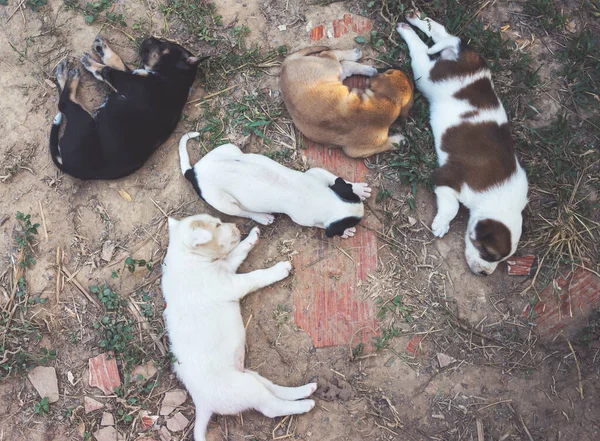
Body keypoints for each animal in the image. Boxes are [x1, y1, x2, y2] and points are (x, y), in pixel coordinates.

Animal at [48, 35, 206, 178]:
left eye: (165, 44)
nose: (149, 38)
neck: (176, 77)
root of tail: (69, 168)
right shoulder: (133, 74)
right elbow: (116, 61)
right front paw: (101, 47)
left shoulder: (125, 81)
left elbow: (105, 70)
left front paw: (90, 62)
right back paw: (63, 72)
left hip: (83, 120)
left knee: (64, 103)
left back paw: (70, 76)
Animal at [162, 211, 316, 438]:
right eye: (217, 226)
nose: (236, 226)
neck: (189, 258)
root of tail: (202, 404)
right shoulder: (231, 284)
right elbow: (256, 276)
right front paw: (278, 270)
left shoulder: (227, 266)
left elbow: (239, 251)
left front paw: (252, 236)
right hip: (245, 387)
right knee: (271, 407)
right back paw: (305, 405)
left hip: (250, 376)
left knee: (274, 389)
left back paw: (305, 390)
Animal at [180, 132, 372, 239]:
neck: (324, 199)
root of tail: (194, 171)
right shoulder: (303, 219)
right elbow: (320, 225)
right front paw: (345, 232)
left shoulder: (316, 174)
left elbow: (334, 179)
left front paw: (358, 188)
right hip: (223, 202)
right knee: (241, 212)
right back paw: (262, 217)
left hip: (229, 148)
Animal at [280, 46, 412, 158]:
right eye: (389, 72)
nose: (400, 67)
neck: (388, 101)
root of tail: (285, 66)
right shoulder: (361, 150)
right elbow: (387, 144)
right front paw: (400, 140)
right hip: (332, 67)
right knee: (329, 54)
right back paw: (355, 56)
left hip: (336, 76)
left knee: (343, 64)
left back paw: (365, 67)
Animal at [396, 12, 528, 274]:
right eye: (488, 253)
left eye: (500, 260)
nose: (484, 274)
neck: (498, 198)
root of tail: (465, 57)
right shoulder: (446, 178)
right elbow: (453, 206)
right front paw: (441, 224)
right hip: (428, 77)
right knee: (421, 51)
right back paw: (407, 30)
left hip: (443, 58)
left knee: (442, 32)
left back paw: (415, 19)